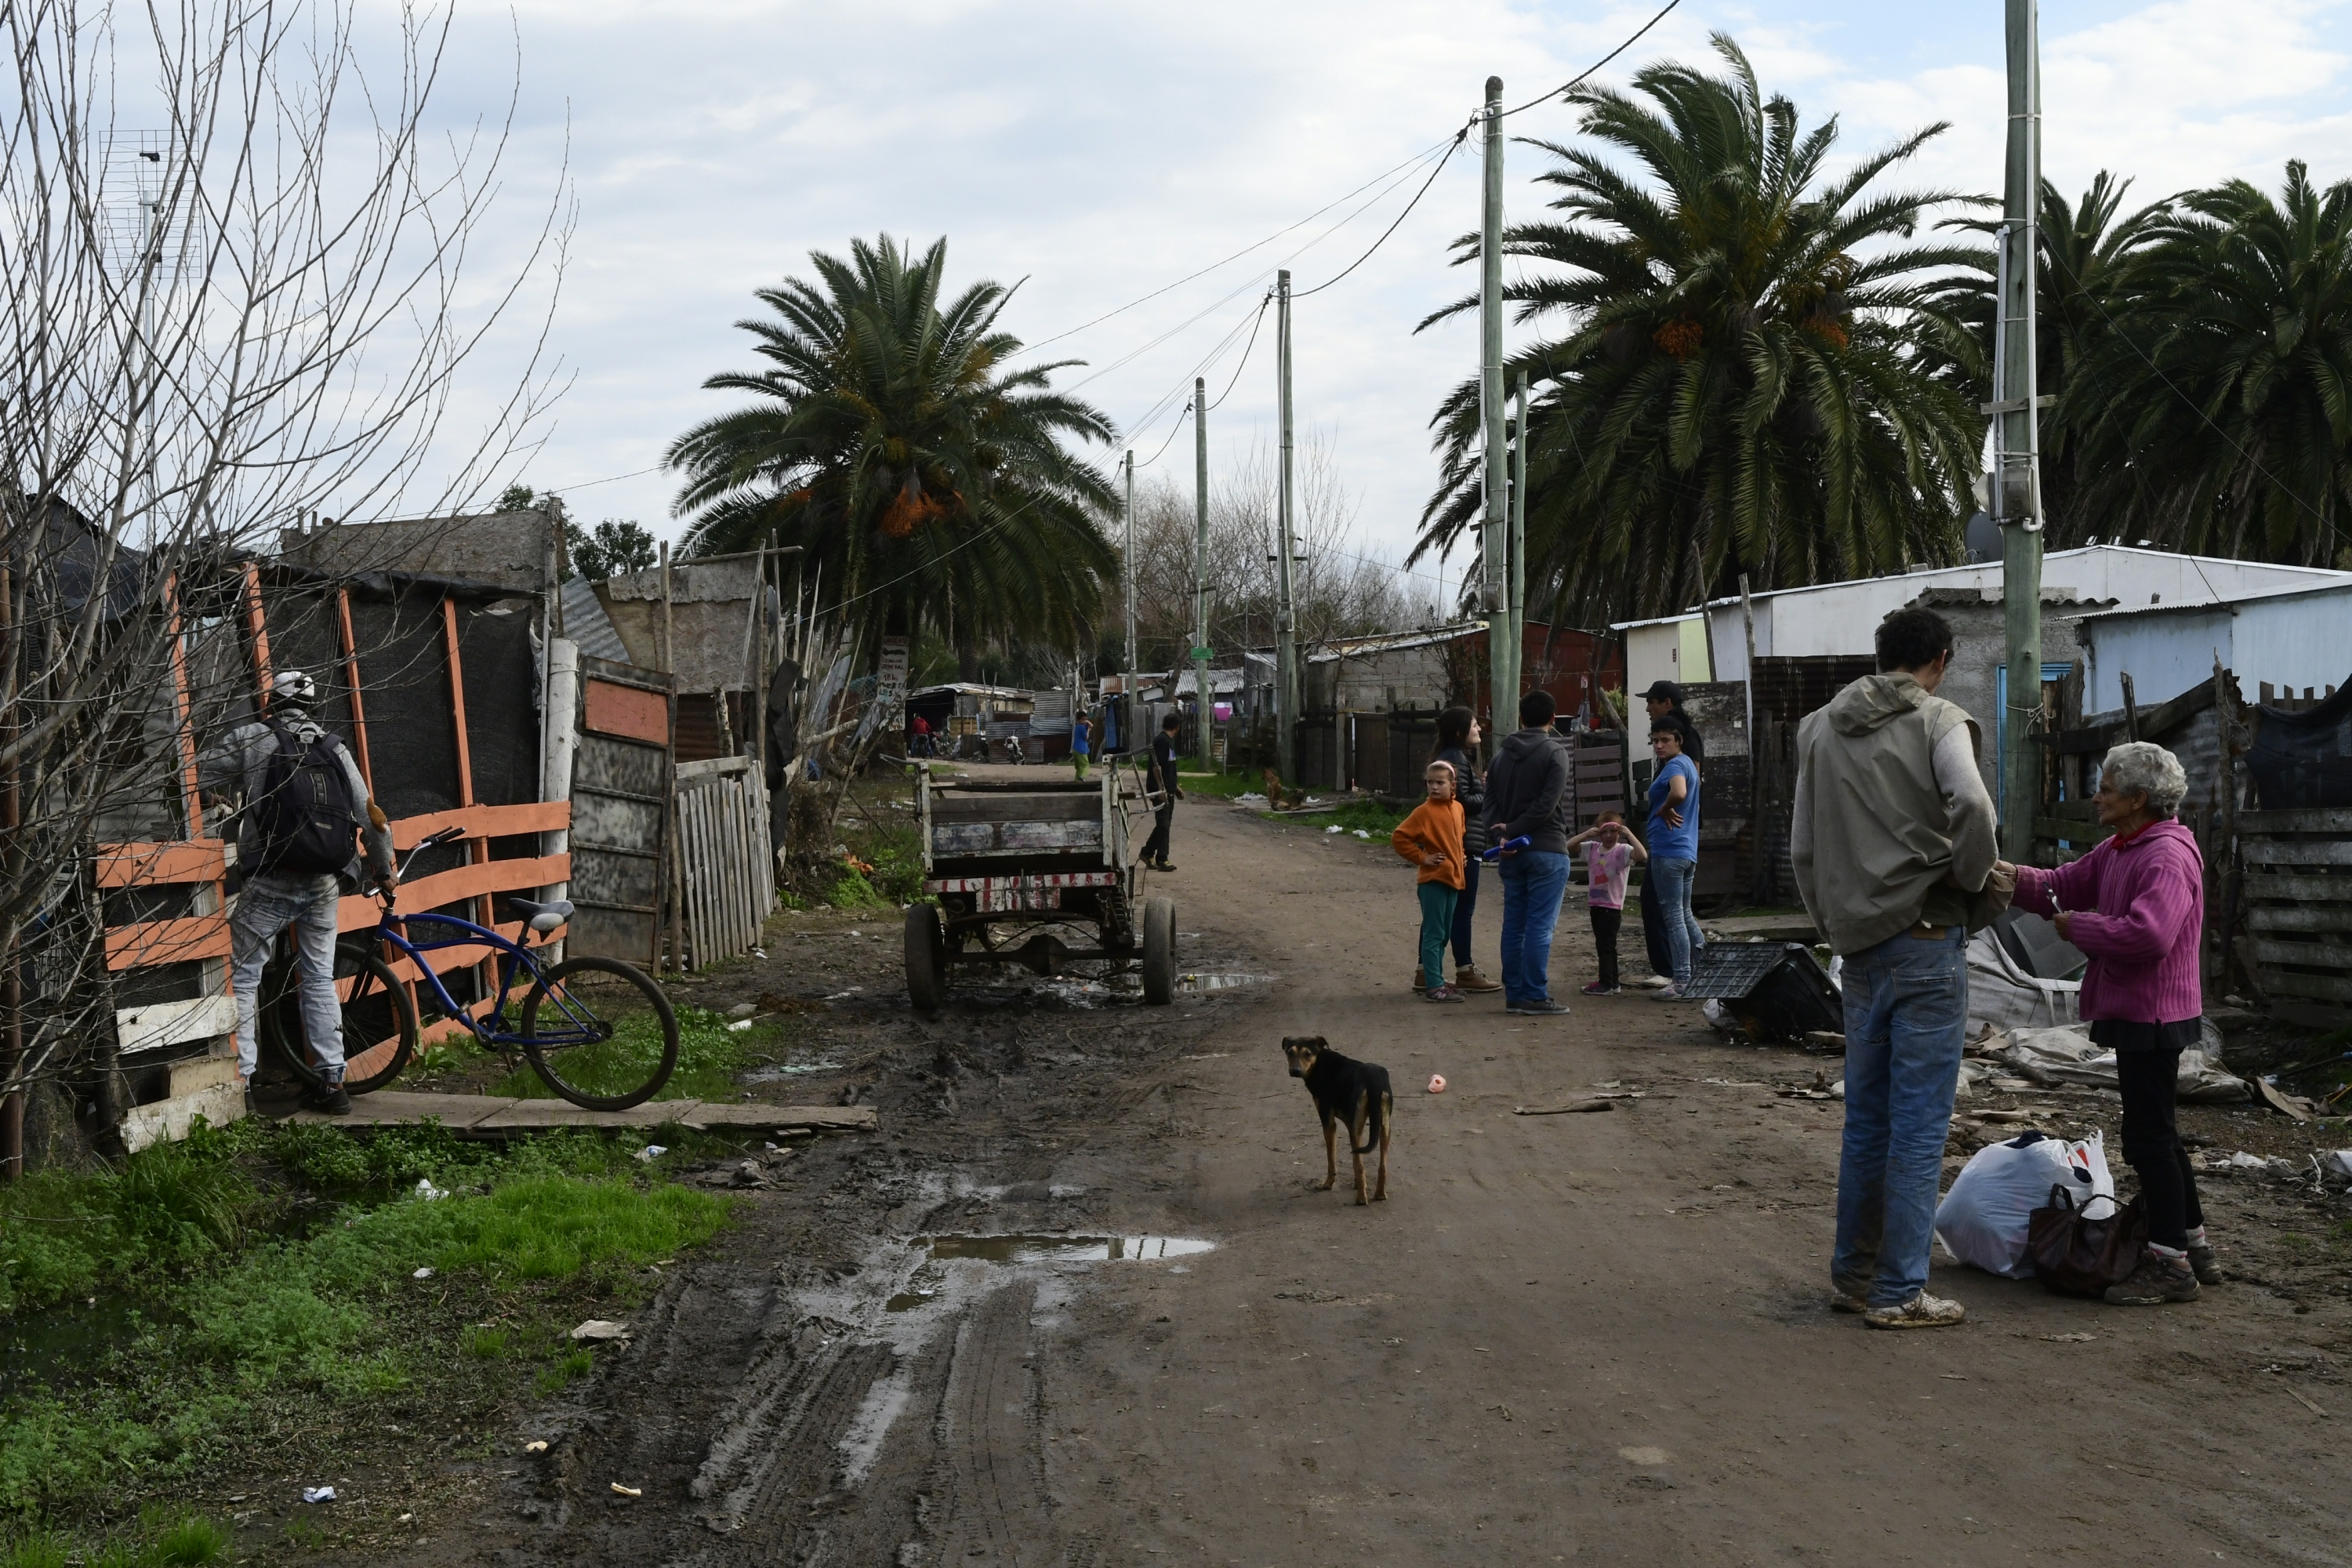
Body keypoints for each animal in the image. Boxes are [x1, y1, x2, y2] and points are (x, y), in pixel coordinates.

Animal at [1279, 1034, 1383, 1213]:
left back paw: (1362, 1199)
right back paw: (1379, 1194)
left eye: (1308, 1054)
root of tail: (1372, 1080)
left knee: (1361, 1166)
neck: (1320, 1063)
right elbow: (1356, 1157)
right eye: (1289, 1052)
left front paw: (1328, 1184)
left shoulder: (1328, 1121)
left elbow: (1332, 1159)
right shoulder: (1351, 1123)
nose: (1295, 1071)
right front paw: (1357, 1183)